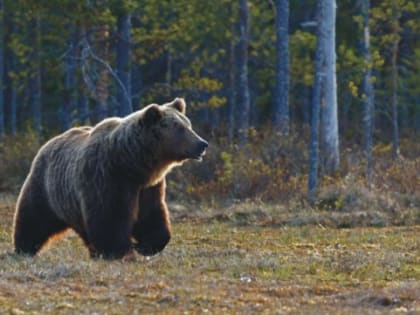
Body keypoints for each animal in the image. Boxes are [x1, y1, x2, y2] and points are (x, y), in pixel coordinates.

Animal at [10, 98, 207, 260]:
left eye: (188, 125)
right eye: (180, 129)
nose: (202, 144)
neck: (132, 164)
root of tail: (49, 142)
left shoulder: (148, 187)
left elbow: (151, 215)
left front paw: (145, 245)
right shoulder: (107, 177)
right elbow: (110, 217)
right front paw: (120, 251)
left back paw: (94, 252)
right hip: (46, 187)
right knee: (34, 217)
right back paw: (24, 248)